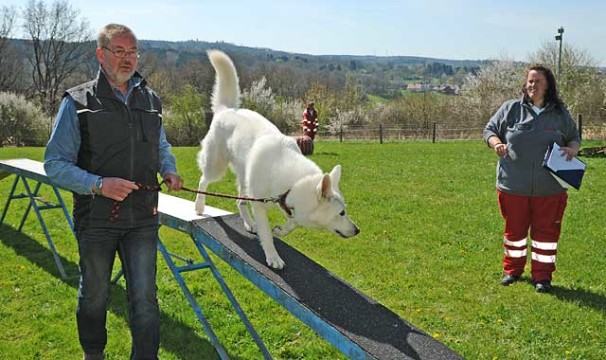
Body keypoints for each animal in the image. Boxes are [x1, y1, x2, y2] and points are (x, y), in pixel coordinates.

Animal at [197, 51, 360, 270]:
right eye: (341, 213)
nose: (357, 230)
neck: (292, 182)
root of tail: (227, 109)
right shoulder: (259, 204)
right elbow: (266, 234)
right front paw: (273, 257)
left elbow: (292, 223)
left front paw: (281, 230)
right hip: (217, 167)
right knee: (203, 181)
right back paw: (199, 206)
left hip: (244, 179)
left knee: (240, 201)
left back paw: (249, 224)